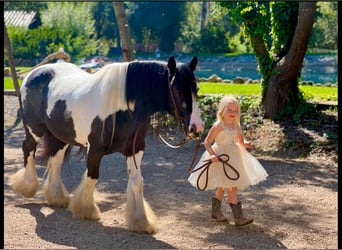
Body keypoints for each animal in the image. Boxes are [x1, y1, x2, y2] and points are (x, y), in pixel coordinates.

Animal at [10, 56, 203, 234]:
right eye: (177, 89)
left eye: (197, 89)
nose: (197, 128)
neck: (123, 106)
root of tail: (33, 74)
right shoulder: (95, 149)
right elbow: (92, 176)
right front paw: (86, 210)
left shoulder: (135, 150)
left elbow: (137, 182)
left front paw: (141, 221)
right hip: (34, 129)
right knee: (28, 150)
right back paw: (27, 186)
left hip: (60, 137)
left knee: (55, 161)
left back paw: (57, 198)